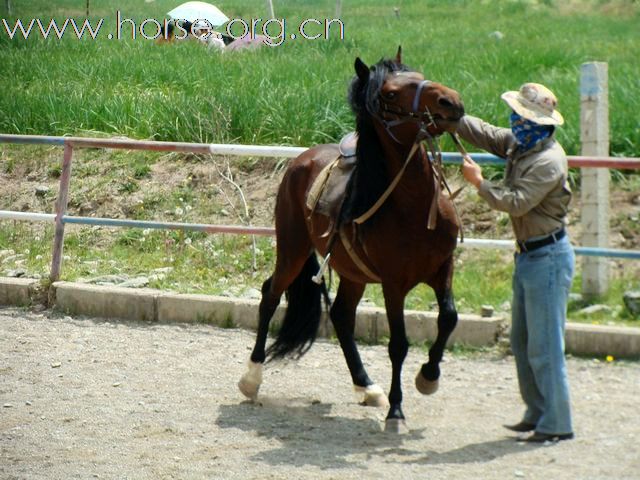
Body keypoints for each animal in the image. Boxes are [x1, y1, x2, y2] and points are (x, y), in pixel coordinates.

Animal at [240, 49, 464, 432]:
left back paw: (367, 386)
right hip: (293, 249)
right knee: (270, 295)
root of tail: (301, 160)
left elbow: (449, 318)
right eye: (390, 93)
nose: (451, 101)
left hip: (352, 273)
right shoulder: (393, 284)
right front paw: (396, 409)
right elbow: (399, 344)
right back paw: (252, 378)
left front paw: (428, 376)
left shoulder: (442, 268)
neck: (413, 206)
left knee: (342, 316)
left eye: (420, 76)